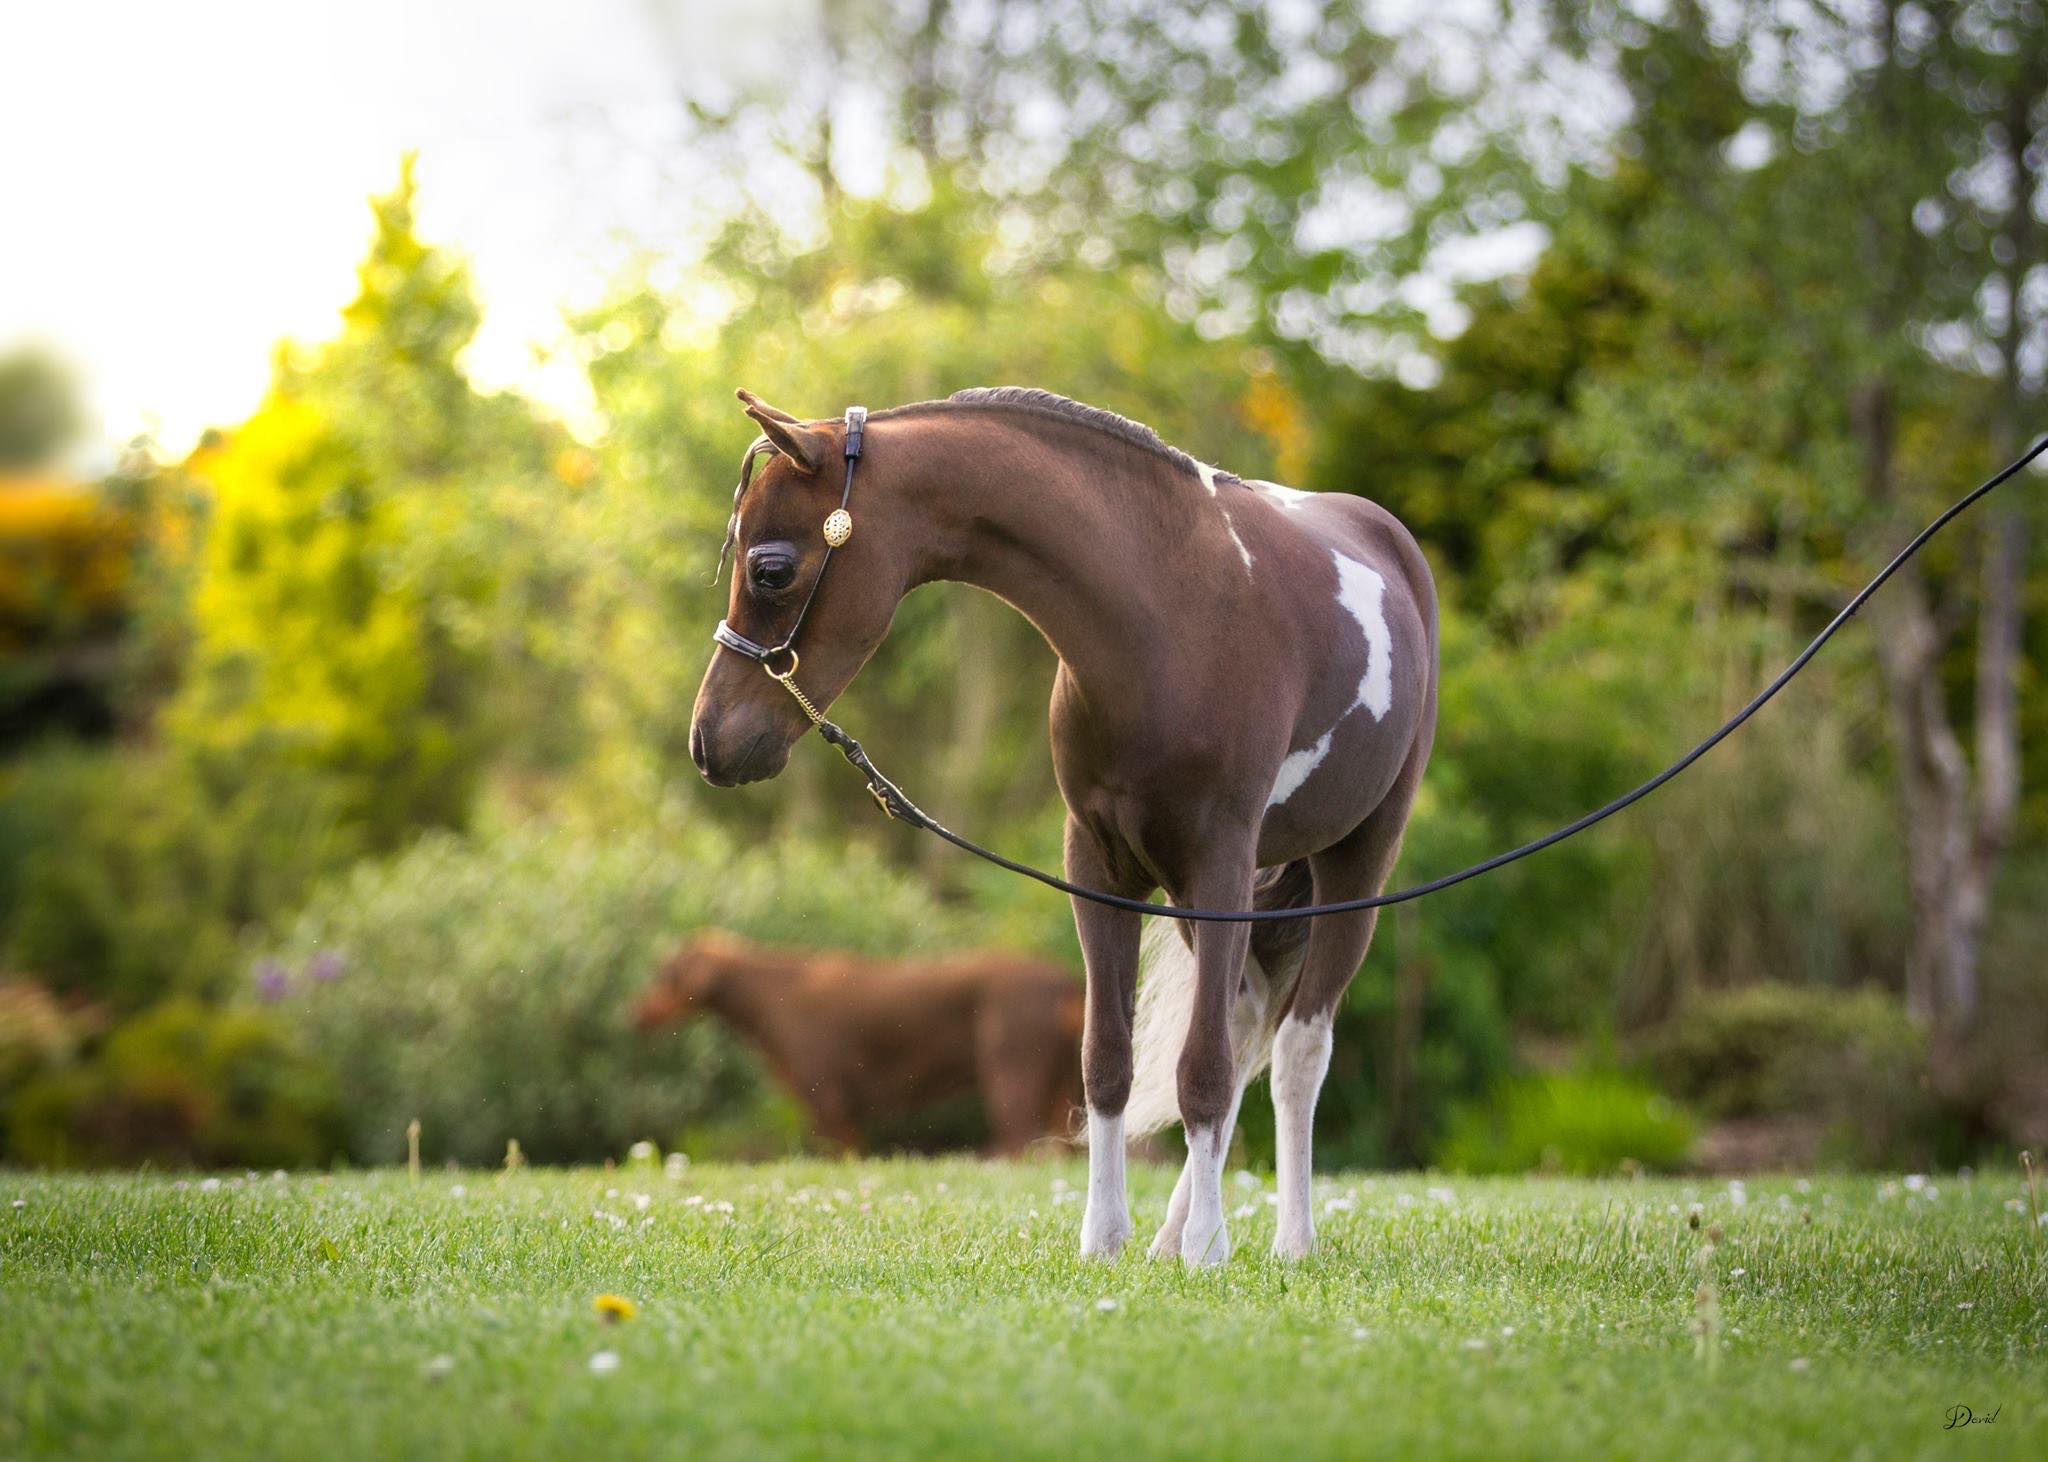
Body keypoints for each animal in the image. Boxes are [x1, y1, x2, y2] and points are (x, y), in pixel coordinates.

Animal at [635, 930, 1083, 1155]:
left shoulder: (830, 1102)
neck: (774, 993)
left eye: (665, 976)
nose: (632, 1015)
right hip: (1058, 1085)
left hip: (1012, 1077)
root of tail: (1062, 981)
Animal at [690, 386, 1438, 1265]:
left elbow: (1204, 1070)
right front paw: (1107, 1240)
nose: (710, 742)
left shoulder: (1220, 862)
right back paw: (1171, 1239)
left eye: (770, 568)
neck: (1169, 617)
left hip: (1355, 862)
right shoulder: (1101, 868)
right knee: (1249, 1020)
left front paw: (1209, 1248)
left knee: (1294, 1049)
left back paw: (1288, 1241)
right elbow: (1107, 1059)